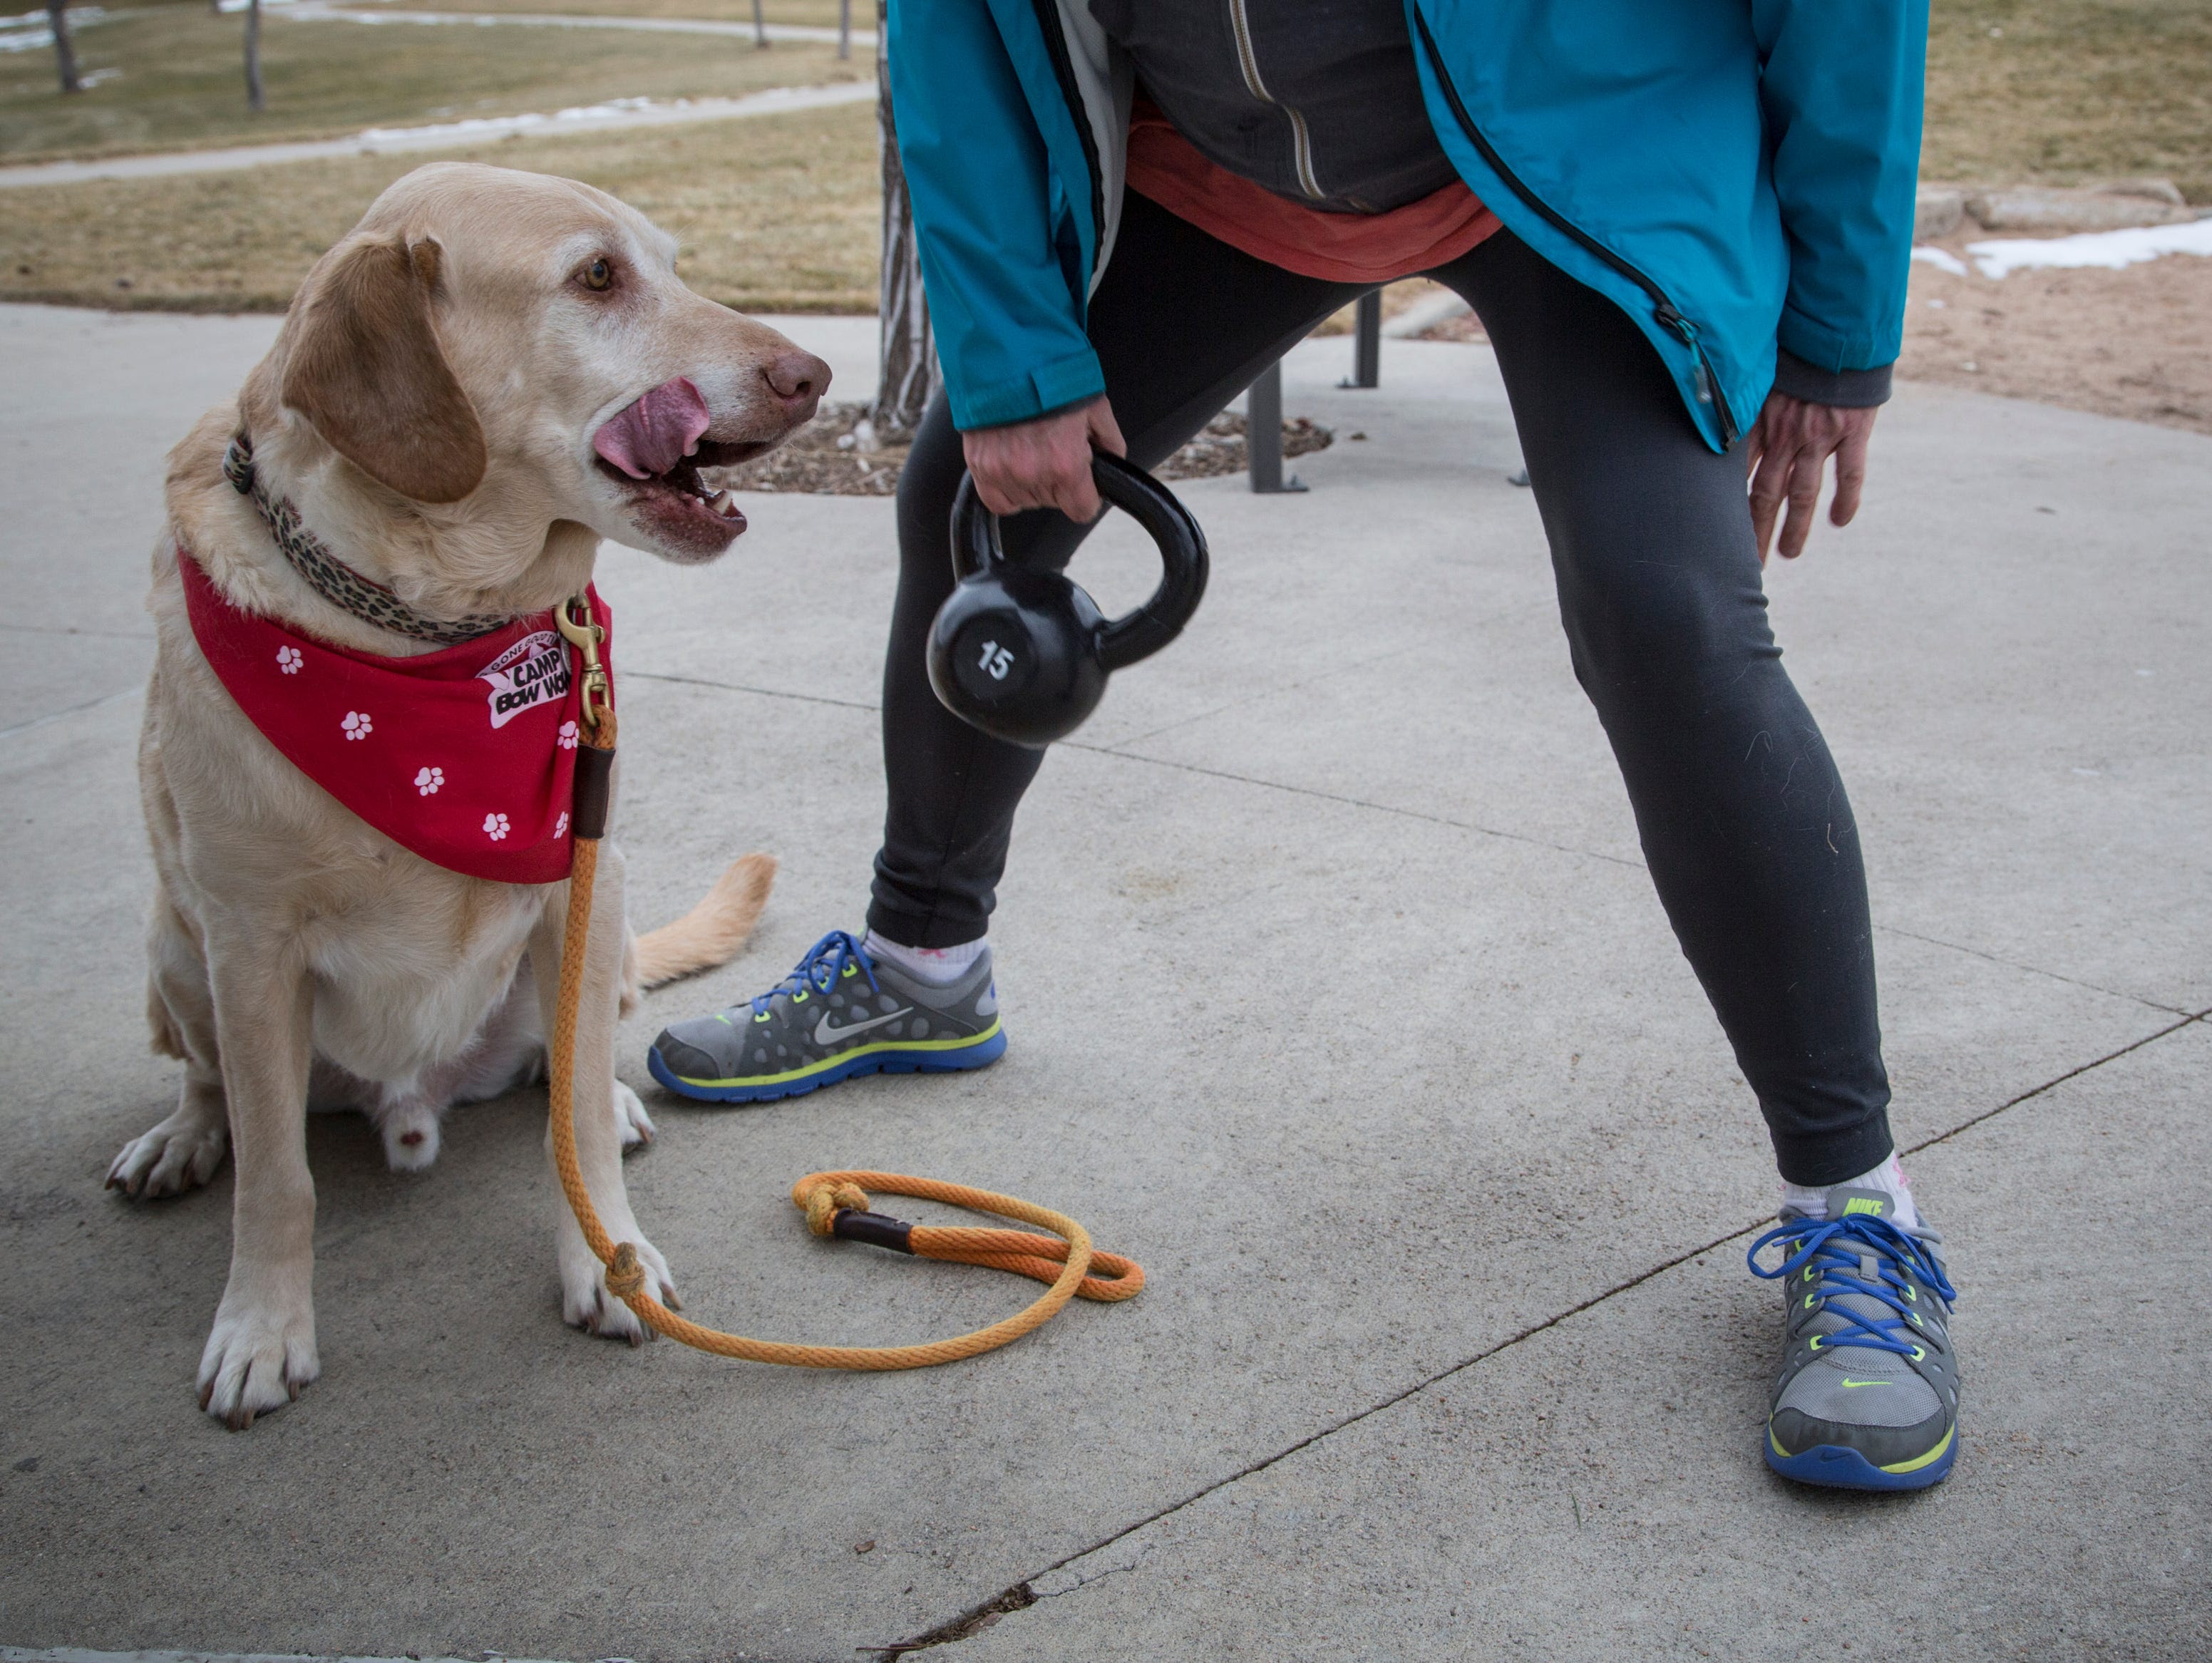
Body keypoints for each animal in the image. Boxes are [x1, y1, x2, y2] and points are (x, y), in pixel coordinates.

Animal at [110, 165, 831, 1433]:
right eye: (596, 276)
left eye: (672, 262)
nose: (814, 374)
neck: (423, 634)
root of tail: (414, 1099)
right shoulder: (249, 946)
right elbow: (275, 1176)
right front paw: (260, 1328)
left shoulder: (576, 875)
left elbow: (574, 1130)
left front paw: (605, 1262)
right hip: (174, 947)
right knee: (209, 1086)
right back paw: (181, 1141)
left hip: (602, 925)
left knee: (573, 1066)